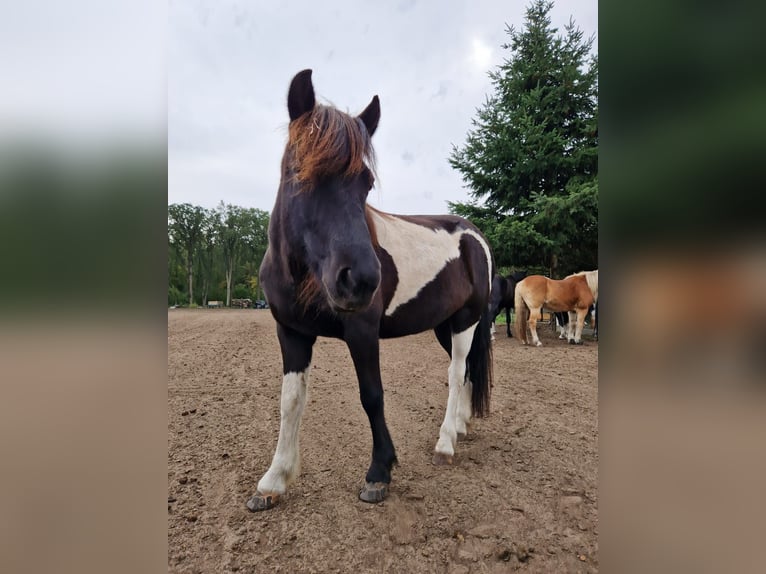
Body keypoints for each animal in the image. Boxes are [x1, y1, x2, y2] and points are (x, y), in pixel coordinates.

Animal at [249, 68, 496, 512]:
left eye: (365, 182)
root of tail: (474, 236)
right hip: (445, 324)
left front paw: (379, 472)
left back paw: (445, 442)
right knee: (466, 370)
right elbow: (290, 401)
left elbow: (372, 395)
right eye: (299, 171)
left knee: (455, 373)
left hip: (466, 322)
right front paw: (274, 480)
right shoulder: (291, 333)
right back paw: (460, 426)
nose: (361, 279)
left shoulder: (362, 331)